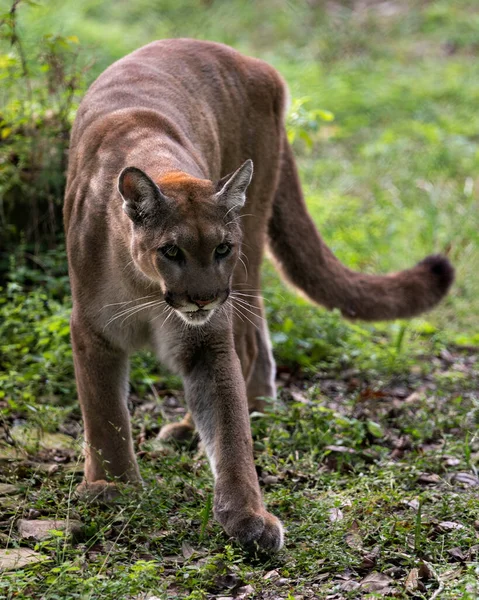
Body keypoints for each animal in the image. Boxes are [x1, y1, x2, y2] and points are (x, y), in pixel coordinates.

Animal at [63, 39, 454, 552]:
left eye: (220, 248)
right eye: (171, 250)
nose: (202, 298)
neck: (144, 286)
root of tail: (254, 62)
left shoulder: (207, 337)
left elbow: (228, 425)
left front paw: (247, 514)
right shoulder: (93, 330)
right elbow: (104, 412)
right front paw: (112, 486)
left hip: (248, 254)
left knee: (247, 345)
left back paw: (217, 418)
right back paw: (245, 408)